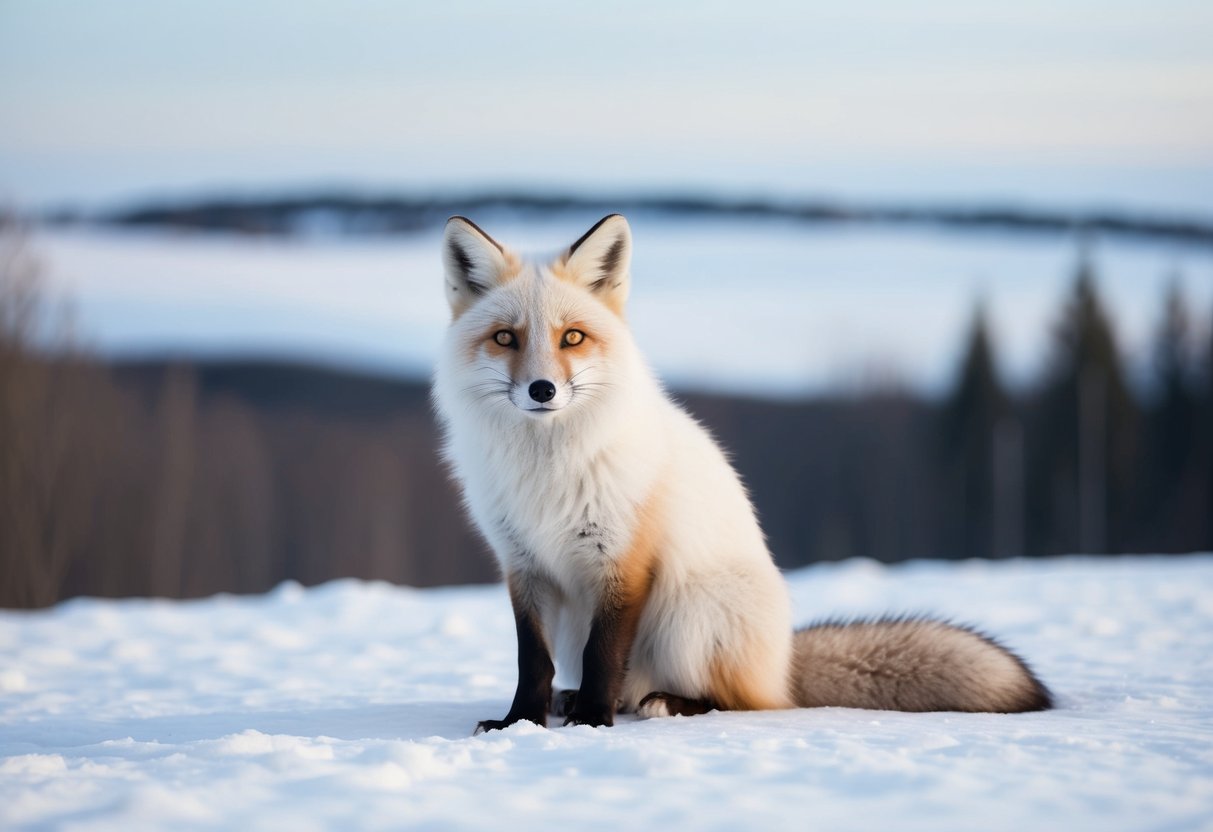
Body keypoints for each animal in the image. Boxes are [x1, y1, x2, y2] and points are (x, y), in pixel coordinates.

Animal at [431, 214, 1052, 732]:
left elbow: (603, 654)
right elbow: (531, 661)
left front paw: (591, 724)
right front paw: (520, 723)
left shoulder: (623, 561)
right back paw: (575, 698)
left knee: (732, 700)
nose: (542, 390)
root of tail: (782, 666)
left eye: (573, 338)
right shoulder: (523, 565)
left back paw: (664, 703)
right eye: (506, 338)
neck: (546, 468)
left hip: (688, 611)